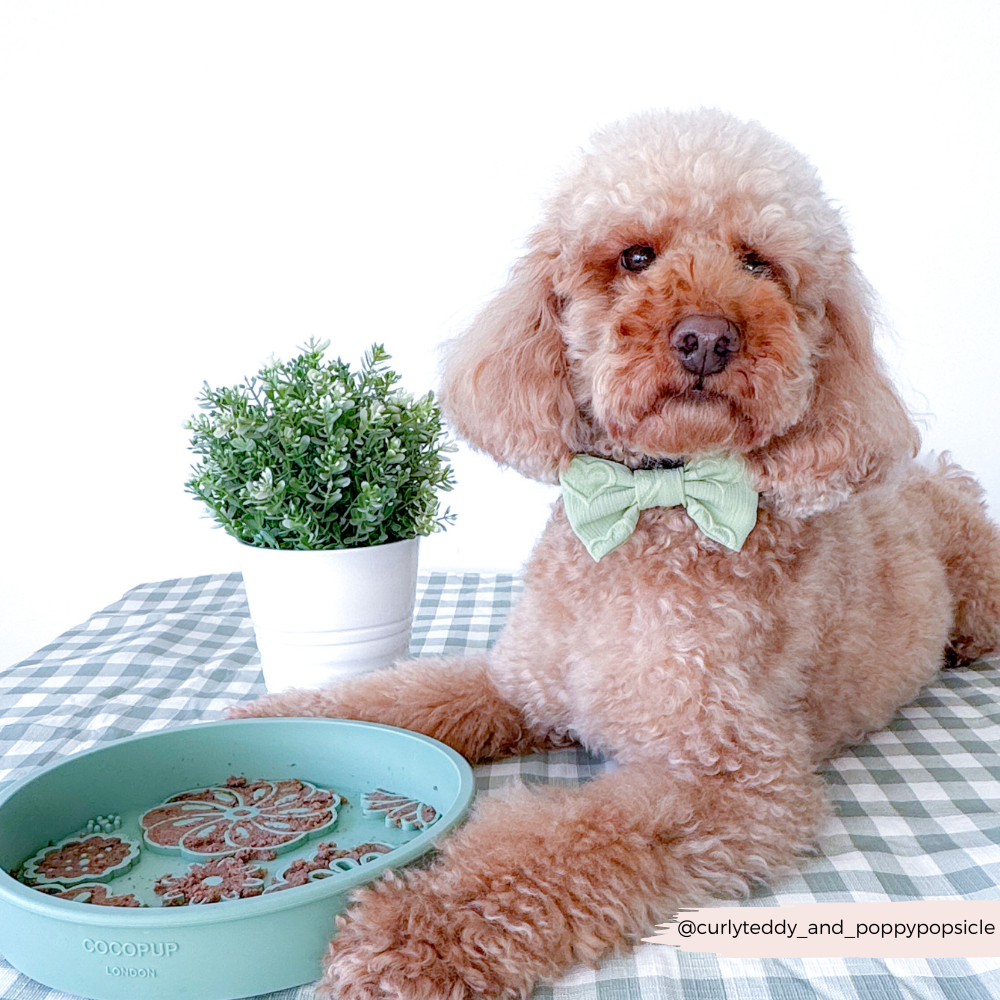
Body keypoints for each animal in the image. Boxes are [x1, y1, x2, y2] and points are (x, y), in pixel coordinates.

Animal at [230, 109, 1000, 1000]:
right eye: (635, 256)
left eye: (758, 262)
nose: (706, 338)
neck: (654, 510)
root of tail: (925, 467)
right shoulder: (522, 686)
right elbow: (405, 696)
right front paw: (267, 721)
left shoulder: (731, 777)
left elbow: (557, 848)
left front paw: (409, 938)